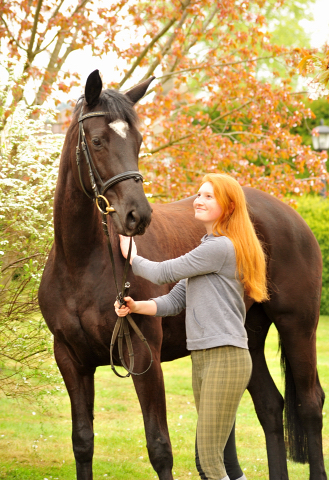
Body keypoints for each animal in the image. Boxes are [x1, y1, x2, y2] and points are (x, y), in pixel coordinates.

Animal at [38, 71, 326, 480]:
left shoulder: (143, 354)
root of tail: (290, 216)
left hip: (298, 326)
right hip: (248, 335)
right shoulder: (70, 360)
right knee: (270, 406)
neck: (81, 263)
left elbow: (159, 447)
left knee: (309, 405)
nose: (137, 216)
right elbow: (82, 442)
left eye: (139, 141)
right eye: (97, 141)